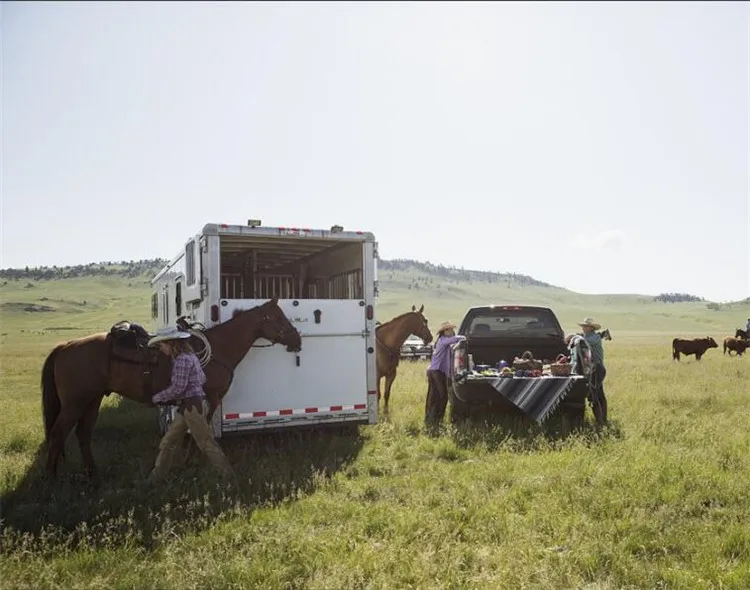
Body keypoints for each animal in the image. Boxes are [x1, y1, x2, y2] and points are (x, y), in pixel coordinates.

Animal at [42, 298, 302, 478]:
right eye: (279, 318)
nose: (297, 340)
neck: (218, 348)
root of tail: (65, 345)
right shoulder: (211, 398)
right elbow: (202, 430)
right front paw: (194, 461)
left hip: (91, 401)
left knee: (83, 434)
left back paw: (92, 474)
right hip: (74, 404)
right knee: (57, 434)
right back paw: (52, 480)